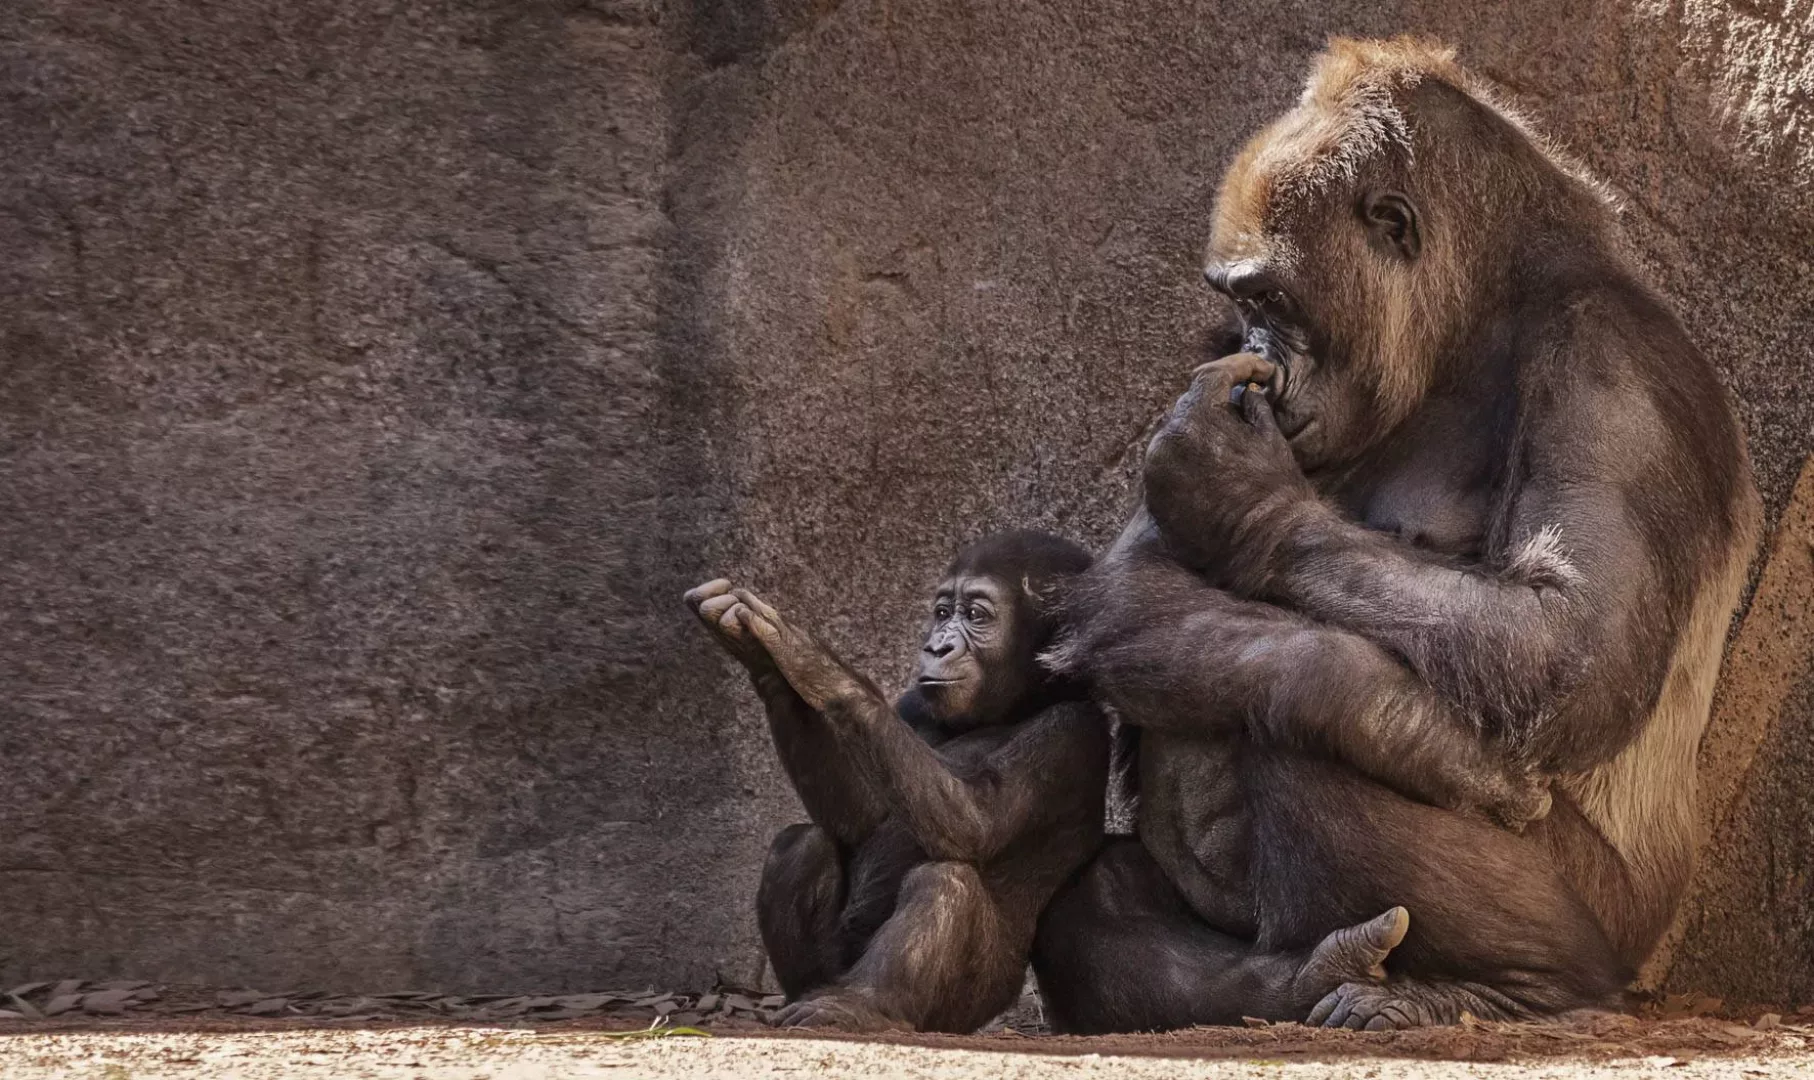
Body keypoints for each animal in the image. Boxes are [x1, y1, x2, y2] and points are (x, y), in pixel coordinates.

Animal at [685, 533, 1407, 1038]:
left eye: (976, 614)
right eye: (941, 610)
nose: (938, 644)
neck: (1018, 700)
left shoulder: (1069, 733)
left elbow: (971, 821)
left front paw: (805, 658)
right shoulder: (916, 707)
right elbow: (859, 818)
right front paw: (761, 660)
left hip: (967, 1004)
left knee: (945, 880)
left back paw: (859, 1008)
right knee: (799, 846)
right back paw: (810, 994)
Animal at [1037, 38, 1755, 1038]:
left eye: (1273, 298)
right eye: (1242, 307)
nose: (1264, 355)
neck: (1480, 314)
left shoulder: (1615, 368)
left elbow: (1566, 648)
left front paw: (1237, 495)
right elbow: (1133, 582)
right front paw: (1424, 740)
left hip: (1618, 928)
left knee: (1302, 727)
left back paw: (1517, 985)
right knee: (1094, 902)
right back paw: (1287, 981)